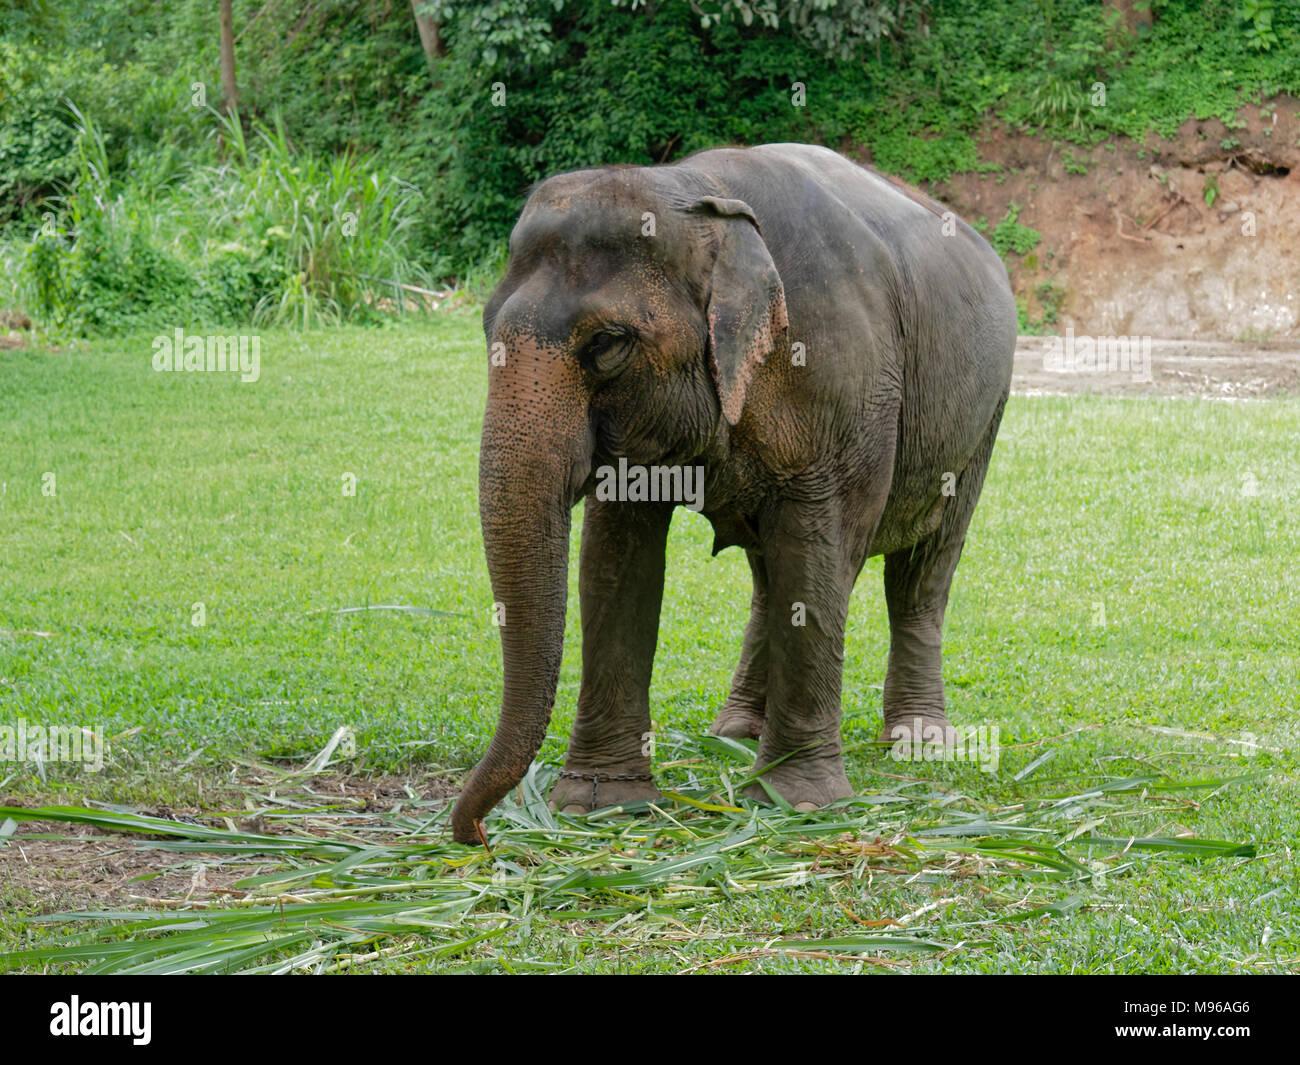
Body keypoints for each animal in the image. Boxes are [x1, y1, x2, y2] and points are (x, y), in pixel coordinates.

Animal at [450, 142, 1016, 844]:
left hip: (985, 414)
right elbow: (615, 564)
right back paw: (737, 732)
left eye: (606, 343)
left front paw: (797, 804)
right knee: (770, 578)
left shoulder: (847, 384)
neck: (697, 189)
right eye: (484, 330)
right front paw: (598, 806)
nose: (477, 834)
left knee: (923, 569)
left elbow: (821, 547)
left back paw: (919, 742)